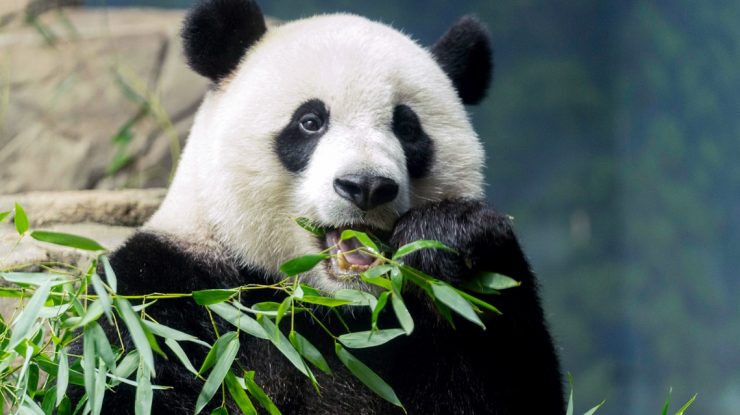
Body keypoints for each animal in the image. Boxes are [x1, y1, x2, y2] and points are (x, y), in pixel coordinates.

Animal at [91, 0, 566, 413]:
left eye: (407, 128)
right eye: (310, 122)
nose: (367, 186)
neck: (335, 308)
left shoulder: (426, 334)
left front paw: (449, 237)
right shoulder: (163, 297)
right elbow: (129, 377)